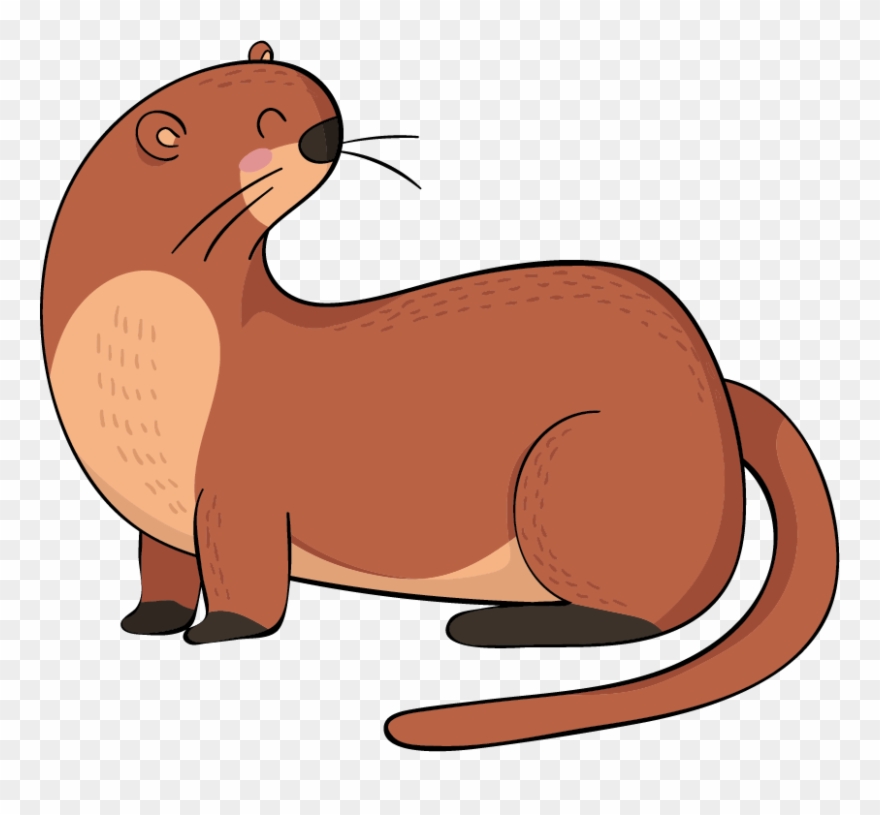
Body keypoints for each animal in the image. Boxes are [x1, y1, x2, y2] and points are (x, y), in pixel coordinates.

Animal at [41, 42, 838, 750]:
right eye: (268, 119)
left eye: (313, 103)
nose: (323, 136)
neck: (137, 373)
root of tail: (716, 389)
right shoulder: (158, 510)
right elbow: (162, 568)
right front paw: (150, 617)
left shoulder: (243, 488)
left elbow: (249, 584)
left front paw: (220, 630)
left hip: (575, 461)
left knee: (656, 612)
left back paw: (491, 623)